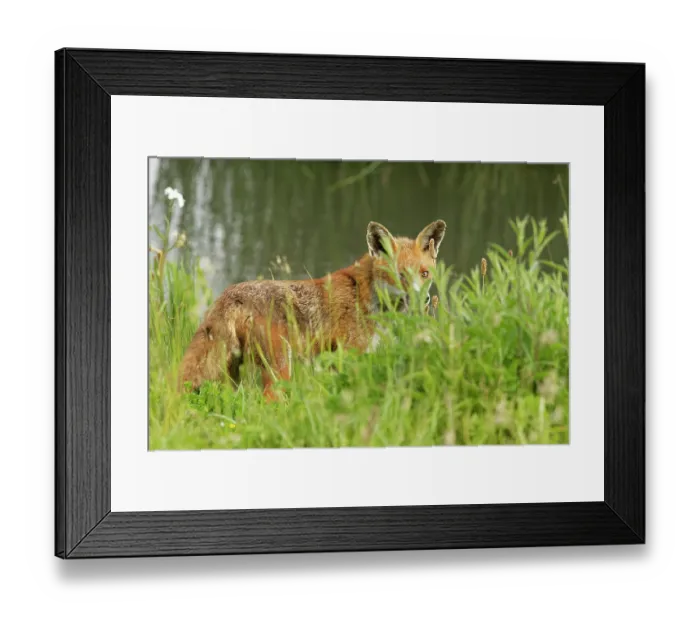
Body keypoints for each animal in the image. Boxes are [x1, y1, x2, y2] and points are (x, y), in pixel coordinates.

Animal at [179, 219, 446, 401]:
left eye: (425, 274)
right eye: (399, 276)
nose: (423, 300)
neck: (364, 294)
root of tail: (228, 295)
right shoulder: (351, 355)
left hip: (234, 372)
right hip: (279, 369)